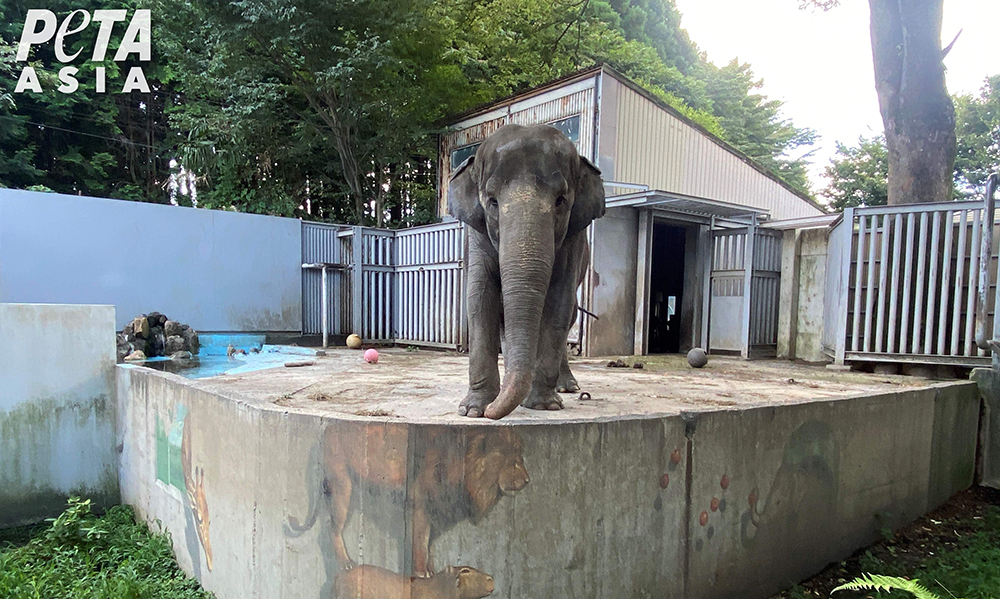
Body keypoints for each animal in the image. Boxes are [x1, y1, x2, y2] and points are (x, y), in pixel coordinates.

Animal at [450, 124, 604, 420]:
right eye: (492, 201)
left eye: (560, 200)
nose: (491, 412)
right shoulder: (476, 235)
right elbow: (480, 298)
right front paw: (473, 410)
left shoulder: (573, 239)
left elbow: (559, 301)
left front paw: (544, 405)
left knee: (570, 313)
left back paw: (566, 387)